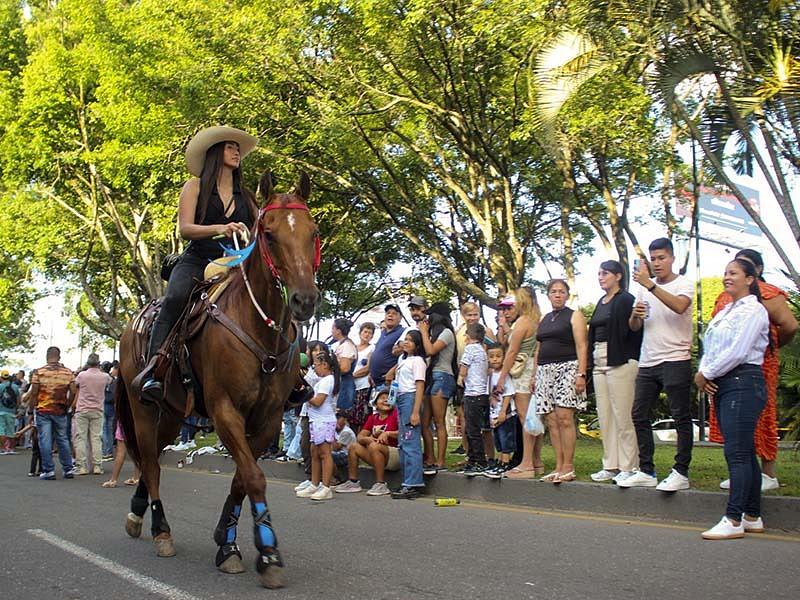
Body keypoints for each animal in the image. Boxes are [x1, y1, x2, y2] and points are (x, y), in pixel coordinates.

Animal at [116, 171, 322, 588]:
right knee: (151, 462)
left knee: (152, 457)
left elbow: (242, 478)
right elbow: (254, 477)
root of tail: (133, 323)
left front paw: (227, 541)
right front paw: (268, 554)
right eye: (269, 234)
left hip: (173, 413)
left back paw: (137, 512)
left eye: (313, 232)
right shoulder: (226, 410)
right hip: (142, 406)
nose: (304, 300)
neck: (257, 326)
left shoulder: (268, 418)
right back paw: (161, 531)